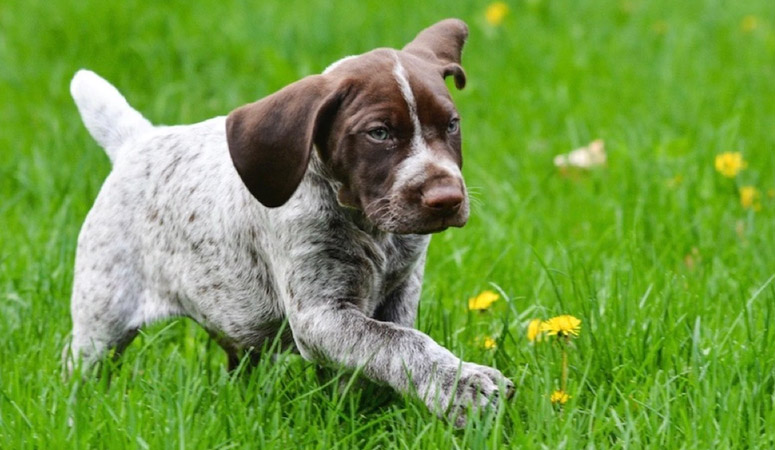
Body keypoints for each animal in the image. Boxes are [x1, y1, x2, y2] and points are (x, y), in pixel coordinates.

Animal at [68, 18, 516, 426]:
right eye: (379, 133)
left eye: (451, 125)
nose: (447, 199)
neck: (370, 228)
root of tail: (137, 141)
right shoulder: (320, 314)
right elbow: (400, 343)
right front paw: (461, 386)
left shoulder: (399, 291)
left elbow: (386, 347)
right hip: (101, 319)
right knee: (81, 373)